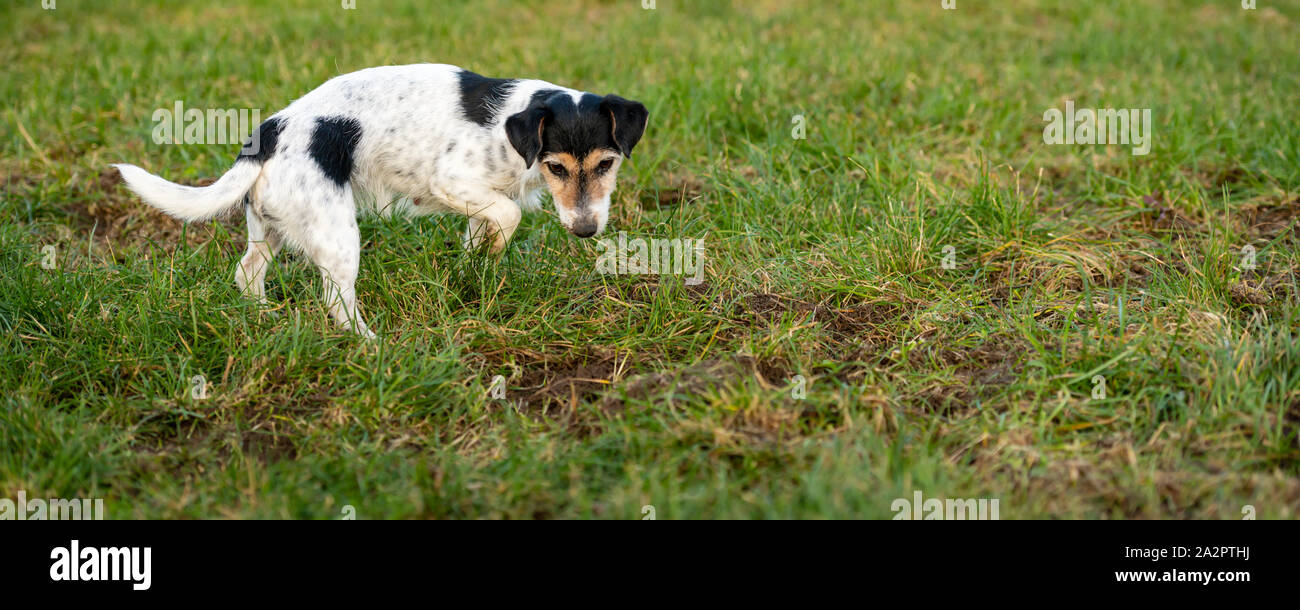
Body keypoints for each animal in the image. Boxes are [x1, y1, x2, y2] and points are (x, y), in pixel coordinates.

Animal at [116, 63, 650, 338]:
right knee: (336, 299)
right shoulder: (453, 180)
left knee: (247, 272)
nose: (585, 231)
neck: (515, 135)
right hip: (338, 235)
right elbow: (509, 213)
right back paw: (371, 346)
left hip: (270, 227)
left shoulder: (477, 200)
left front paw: (474, 272)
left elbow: (481, 235)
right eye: (557, 168)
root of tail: (268, 133)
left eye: (607, 164)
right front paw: (490, 257)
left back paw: (264, 316)